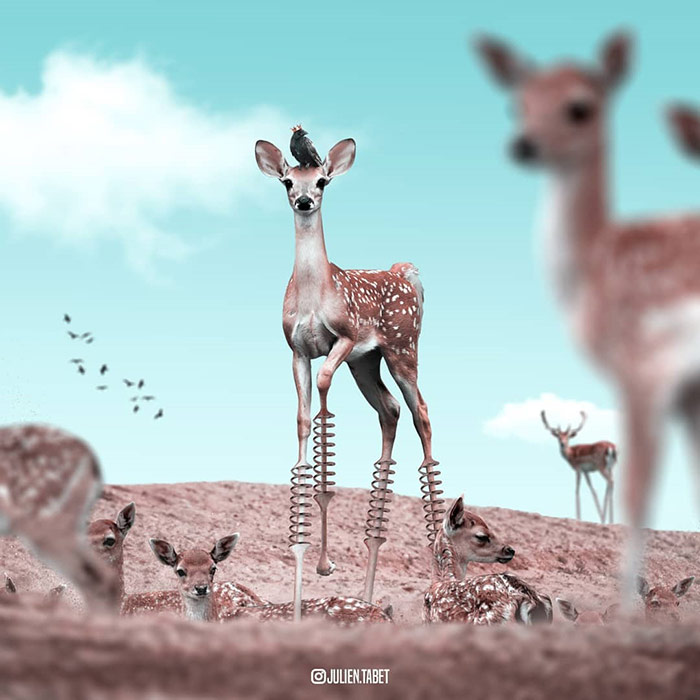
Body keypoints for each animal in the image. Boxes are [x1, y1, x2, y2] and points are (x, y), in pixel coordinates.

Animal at [255, 134, 443, 617]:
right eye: (287, 180)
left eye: (322, 180)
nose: (304, 201)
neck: (313, 292)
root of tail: (404, 274)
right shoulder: (297, 352)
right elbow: (303, 420)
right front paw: (305, 577)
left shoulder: (344, 339)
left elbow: (324, 392)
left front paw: (325, 559)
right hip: (366, 365)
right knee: (390, 411)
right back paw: (367, 594)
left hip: (401, 351)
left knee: (421, 412)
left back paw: (441, 561)